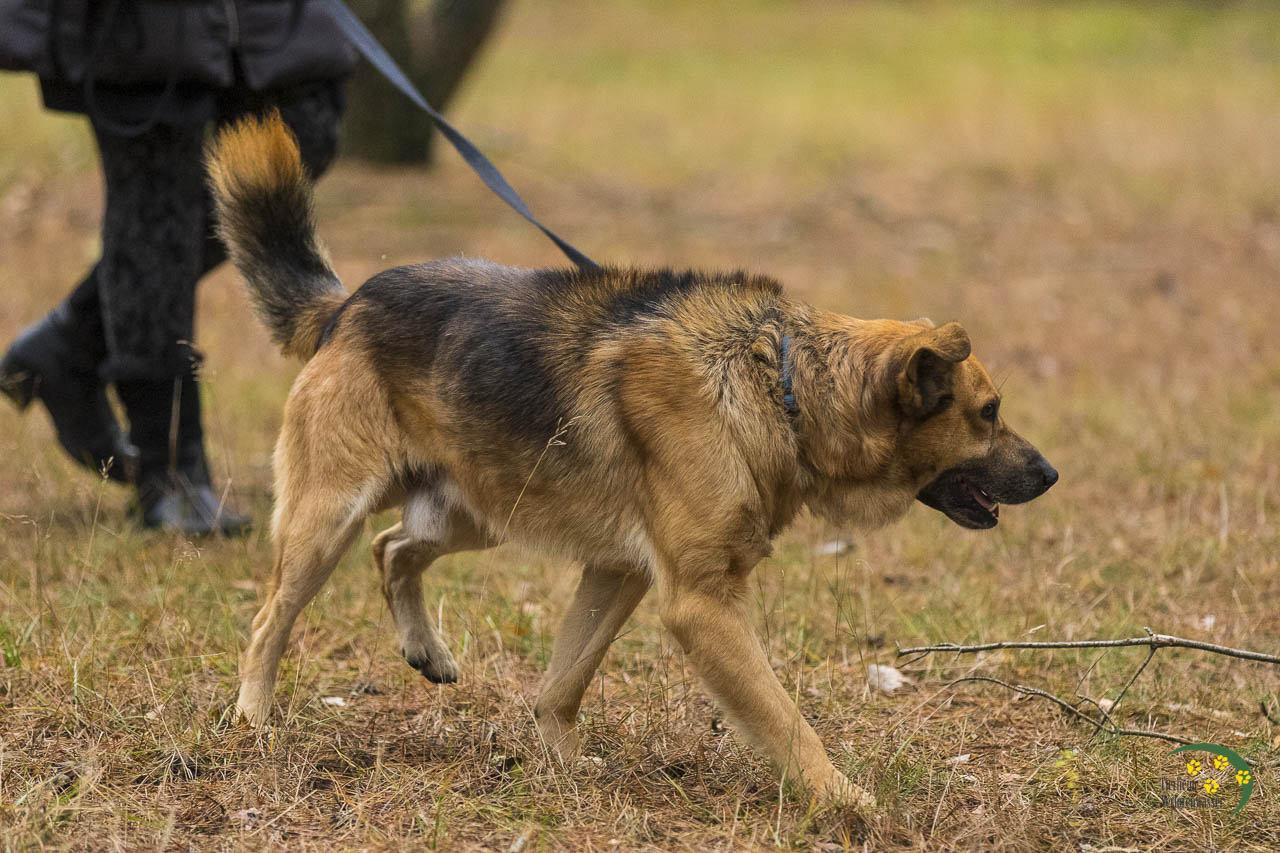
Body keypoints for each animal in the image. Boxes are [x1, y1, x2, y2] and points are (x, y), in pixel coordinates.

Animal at [206, 112, 1057, 809]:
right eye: (989, 413)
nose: (1051, 475)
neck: (777, 384)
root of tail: (347, 304)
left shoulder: (623, 571)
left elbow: (563, 682)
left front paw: (561, 763)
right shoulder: (700, 602)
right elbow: (785, 718)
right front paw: (844, 800)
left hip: (475, 509)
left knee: (395, 549)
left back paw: (424, 647)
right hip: (328, 517)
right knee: (269, 618)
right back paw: (254, 717)